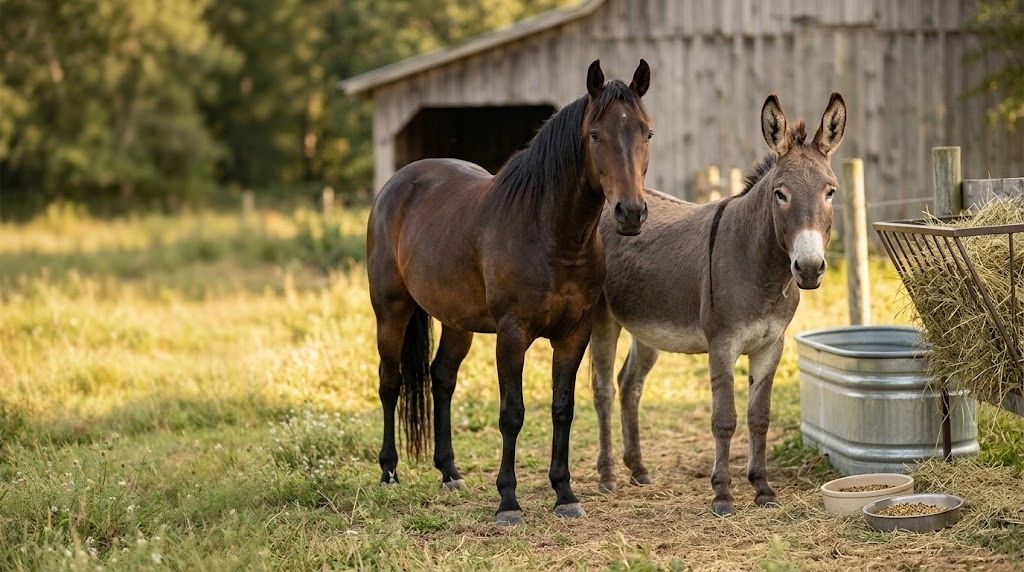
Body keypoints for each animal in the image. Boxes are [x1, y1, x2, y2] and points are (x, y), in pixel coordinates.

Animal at [366, 59, 654, 525]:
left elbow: (562, 409)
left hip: (457, 322)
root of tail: (397, 184)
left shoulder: (574, 334)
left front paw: (565, 495)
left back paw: (449, 472)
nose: (630, 213)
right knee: (390, 383)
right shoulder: (512, 334)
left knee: (441, 379)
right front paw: (508, 502)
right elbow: (512, 414)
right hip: (391, 311)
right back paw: (389, 472)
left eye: (646, 133)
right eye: (595, 135)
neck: (551, 235)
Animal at [589, 93, 846, 516]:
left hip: (646, 327)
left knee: (629, 385)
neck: (762, 268)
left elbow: (759, 418)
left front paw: (763, 489)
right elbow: (724, 419)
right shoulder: (722, 344)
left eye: (831, 192)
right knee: (603, 390)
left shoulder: (770, 345)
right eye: (780, 193)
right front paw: (723, 494)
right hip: (603, 319)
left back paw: (638, 469)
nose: (809, 268)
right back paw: (607, 476)